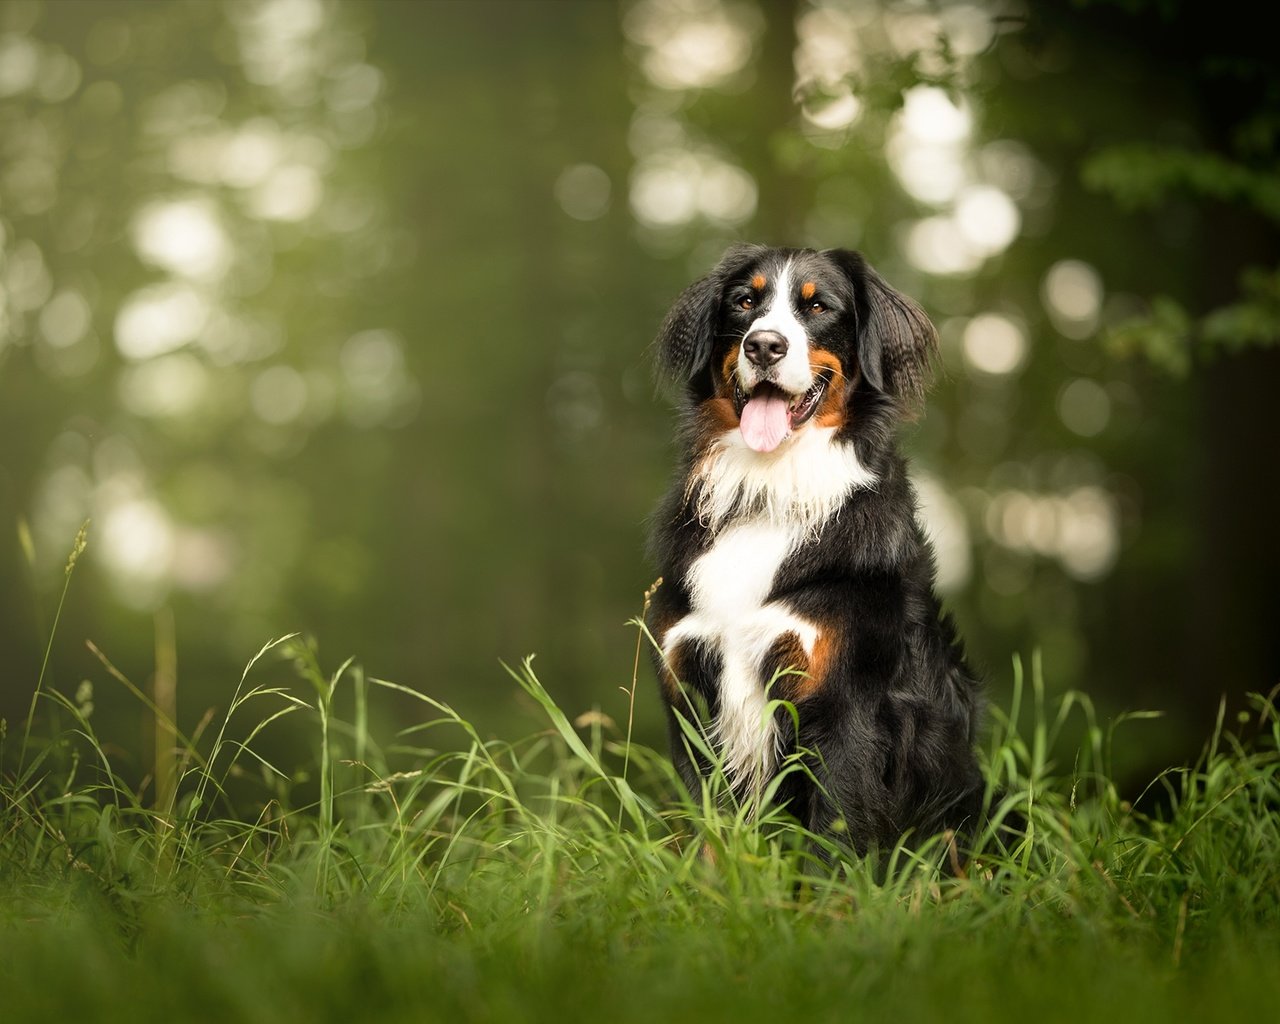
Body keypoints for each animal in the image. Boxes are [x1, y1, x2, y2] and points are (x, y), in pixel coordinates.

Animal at [645, 245, 983, 855]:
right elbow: (707, 834)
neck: (770, 488)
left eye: (819, 306)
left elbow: (834, 838)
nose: (763, 345)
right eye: (745, 302)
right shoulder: (689, 691)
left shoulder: (844, 704)